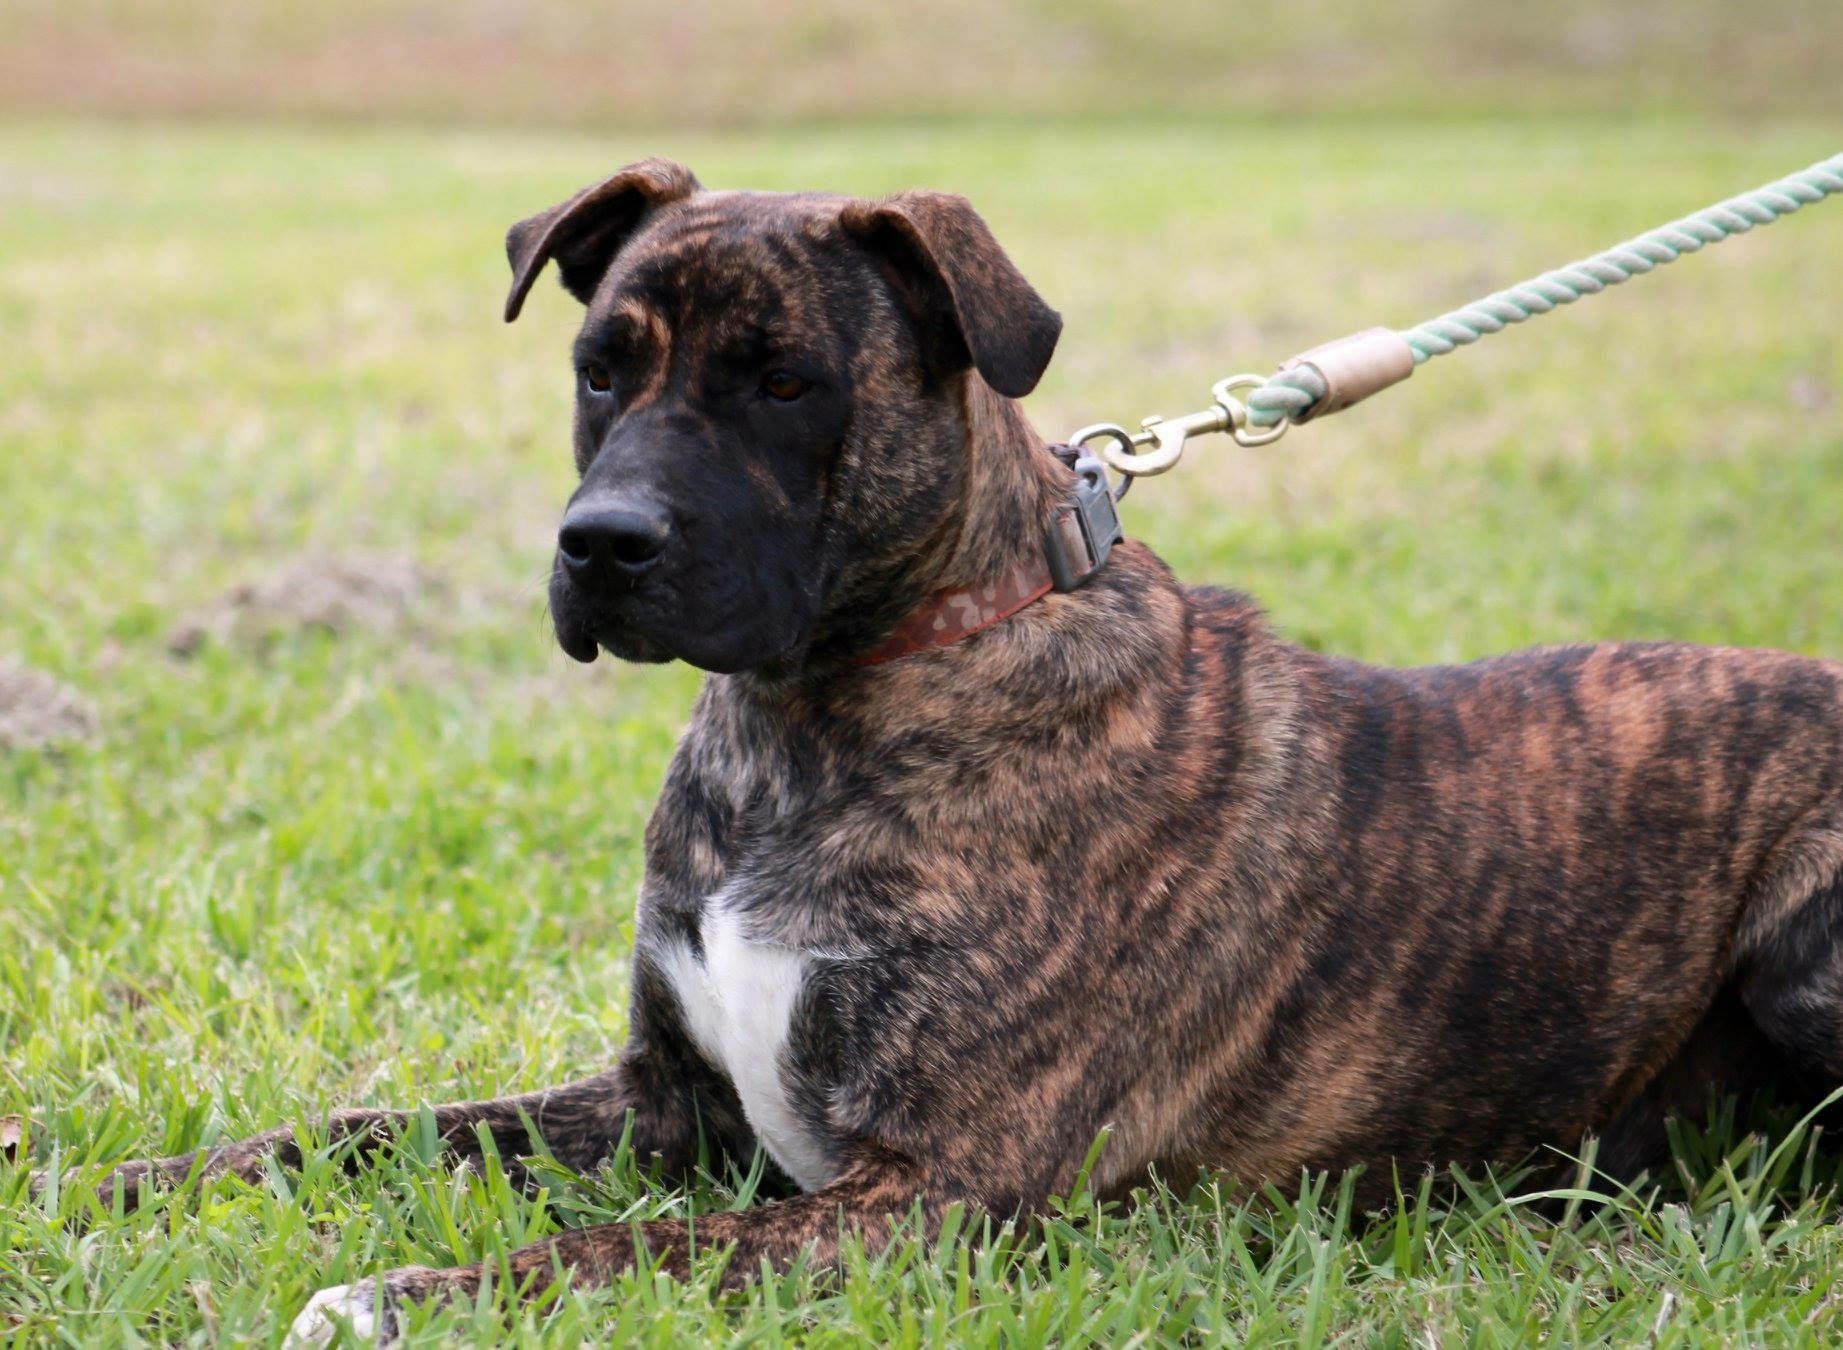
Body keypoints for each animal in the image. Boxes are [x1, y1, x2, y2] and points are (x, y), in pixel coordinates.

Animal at [53, 160, 1843, 1340]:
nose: (600, 543)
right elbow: (355, 1130)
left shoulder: (929, 1192)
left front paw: (399, 1292)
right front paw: (118, 1184)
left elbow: (632, 1253)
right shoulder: (658, 1103)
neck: (820, 715)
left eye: (786, 379)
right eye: (597, 367)